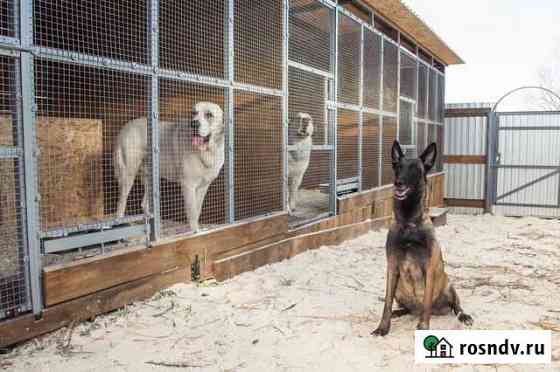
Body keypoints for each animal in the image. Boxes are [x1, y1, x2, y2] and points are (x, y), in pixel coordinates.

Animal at [112, 100, 224, 231]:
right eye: (194, 113)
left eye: (209, 115)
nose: (193, 123)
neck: (207, 152)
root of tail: (125, 127)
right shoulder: (188, 185)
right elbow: (192, 211)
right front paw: (194, 231)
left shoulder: (203, 186)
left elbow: (198, 210)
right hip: (128, 174)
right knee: (121, 203)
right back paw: (121, 223)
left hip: (150, 179)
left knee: (144, 204)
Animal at [372, 141, 472, 336]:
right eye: (398, 167)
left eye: (414, 169)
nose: (398, 183)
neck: (408, 223)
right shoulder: (392, 267)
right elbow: (386, 303)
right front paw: (383, 327)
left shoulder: (429, 269)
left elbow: (426, 300)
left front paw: (424, 326)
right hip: (399, 290)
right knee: (403, 307)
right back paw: (398, 312)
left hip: (448, 284)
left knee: (456, 305)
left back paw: (463, 316)